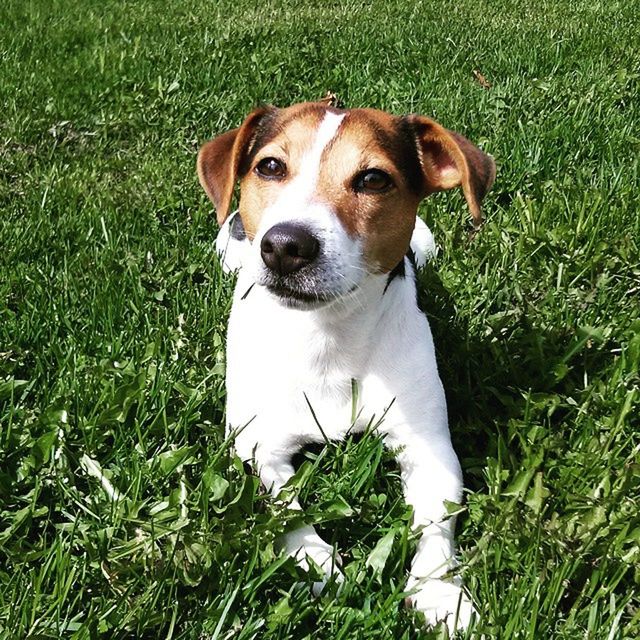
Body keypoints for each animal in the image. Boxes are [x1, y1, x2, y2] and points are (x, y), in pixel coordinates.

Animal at [198, 100, 498, 632]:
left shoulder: (430, 449)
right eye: (270, 166)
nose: (285, 244)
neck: (327, 334)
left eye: (374, 179)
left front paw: (441, 593)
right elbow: (287, 511)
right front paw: (322, 567)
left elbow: (436, 523)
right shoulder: (257, 447)